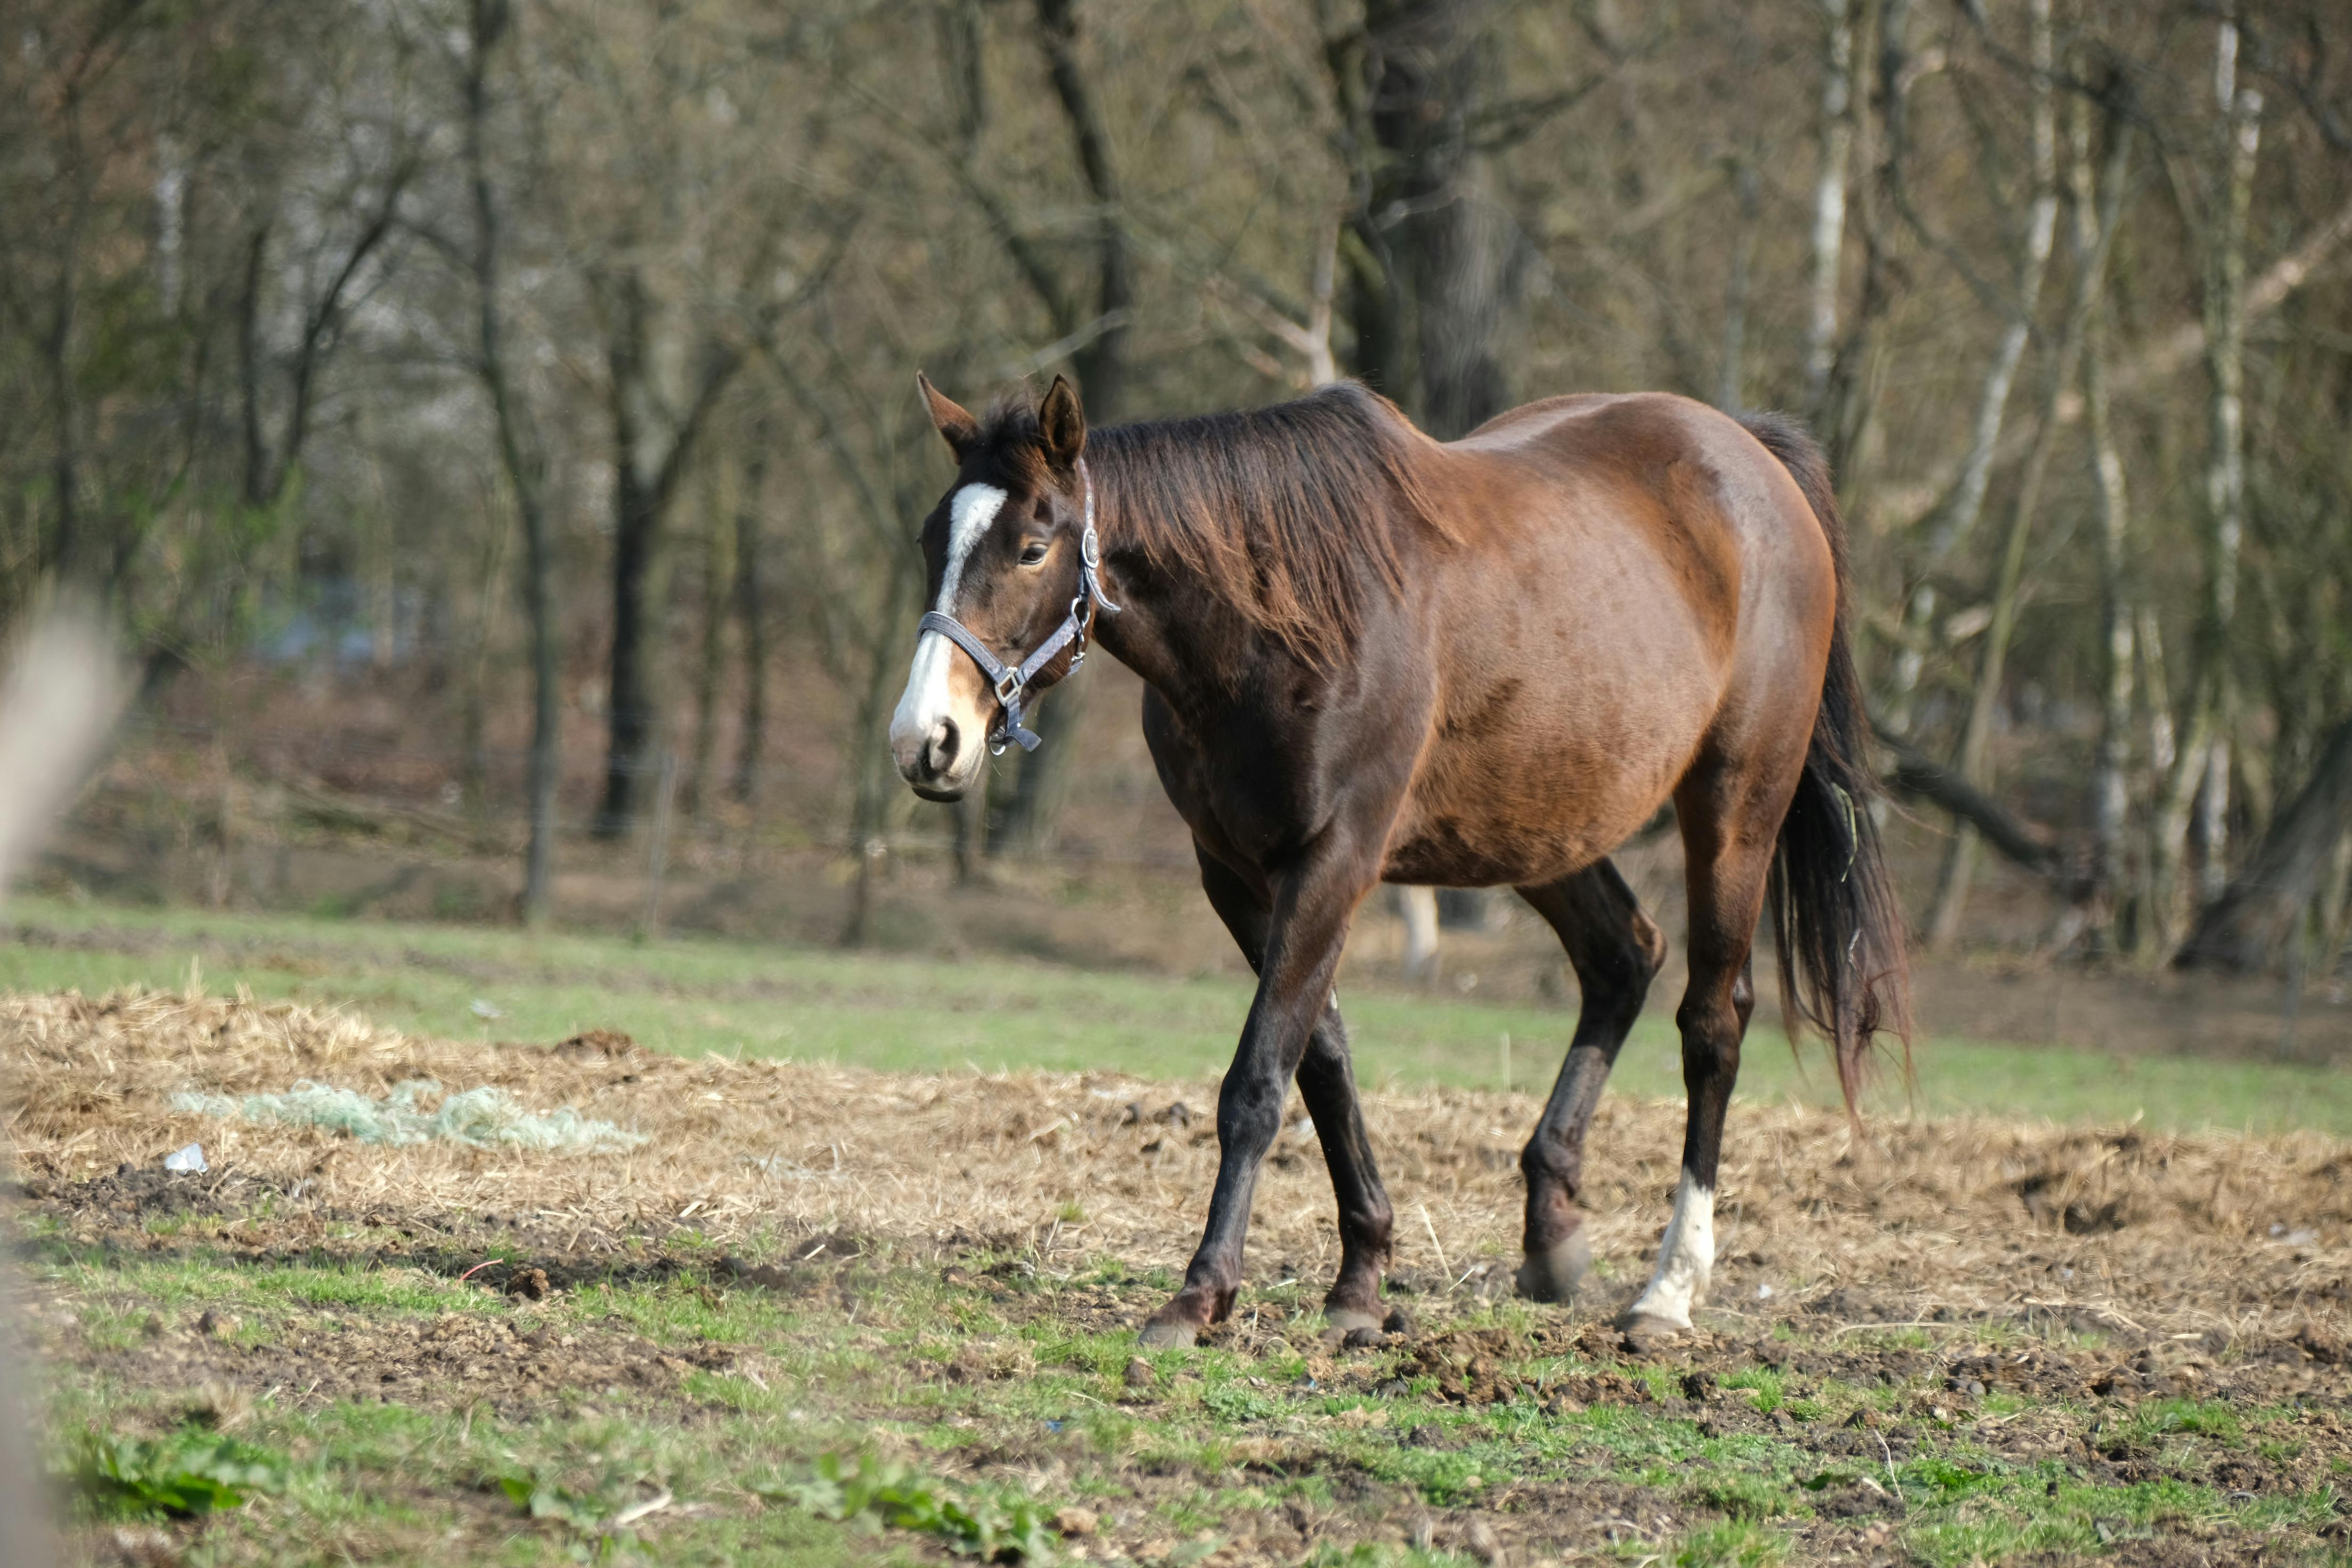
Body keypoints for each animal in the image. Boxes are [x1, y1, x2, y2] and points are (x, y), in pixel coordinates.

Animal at [888, 372, 1909, 1347]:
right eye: (934, 538)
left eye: (1031, 547)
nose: (926, 740)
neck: (1278, 620)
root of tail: (1752, 456)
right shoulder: (1237, 875)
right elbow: (1323, 1062)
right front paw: (1362, 1281)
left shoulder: (1334, 861)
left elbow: (1258, 1080)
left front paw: (1201, 1295)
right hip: (1540, 823)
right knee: (1624, 956)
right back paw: (1551, 1234)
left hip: (1734, 810)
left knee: (1712, 1024)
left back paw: (1668, 1291)